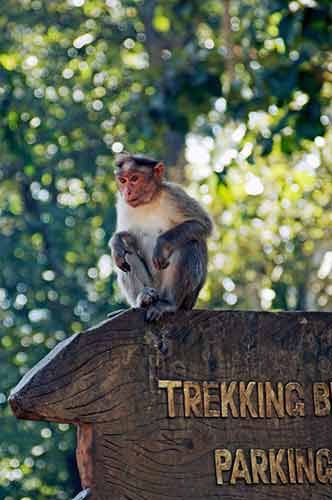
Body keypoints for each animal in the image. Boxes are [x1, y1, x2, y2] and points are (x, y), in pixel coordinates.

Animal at [109, 152, 213, 322]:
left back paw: (168, 303)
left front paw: (161, 244)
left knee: (189, 244)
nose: (127, 192)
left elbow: (202, 224)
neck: (148, 201)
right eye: (123, 180)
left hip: (187, 298)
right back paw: (143, 298)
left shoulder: (174, 195)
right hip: (152, 285)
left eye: (134, 178)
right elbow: (129, 237)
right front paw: (116, 241)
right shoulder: (123, 204)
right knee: (125, 255)